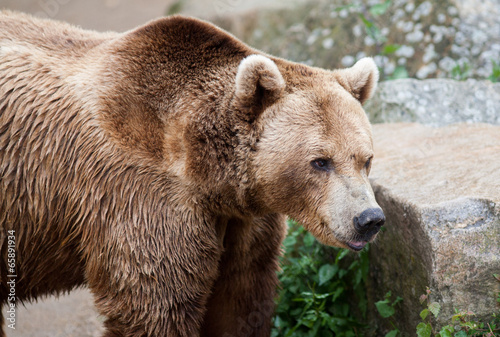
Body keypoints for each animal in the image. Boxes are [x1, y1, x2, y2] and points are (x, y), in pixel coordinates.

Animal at [0, 9, 382, 336]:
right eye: (320, 161)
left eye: (366, 159)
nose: (369, 219)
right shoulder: (143, 200)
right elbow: (154, 305)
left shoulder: (244, 223)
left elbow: (241, 299)